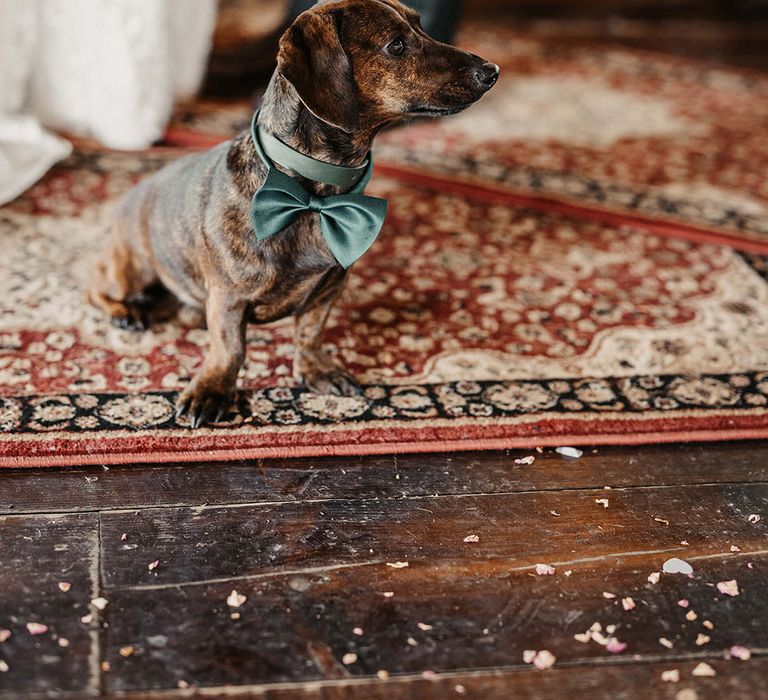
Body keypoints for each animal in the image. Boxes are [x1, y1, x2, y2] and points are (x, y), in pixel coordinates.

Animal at [87, 0, 500, 426]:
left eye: (421, 26)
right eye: (396, 46)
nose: (491, 71)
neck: (311, 195)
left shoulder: (328, 290)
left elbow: (310, 334)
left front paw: (316, 369)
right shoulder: (228, 298)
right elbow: (229, 349)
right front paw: (212, 389)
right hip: (129, 271)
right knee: (96, 287)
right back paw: (125, 313)